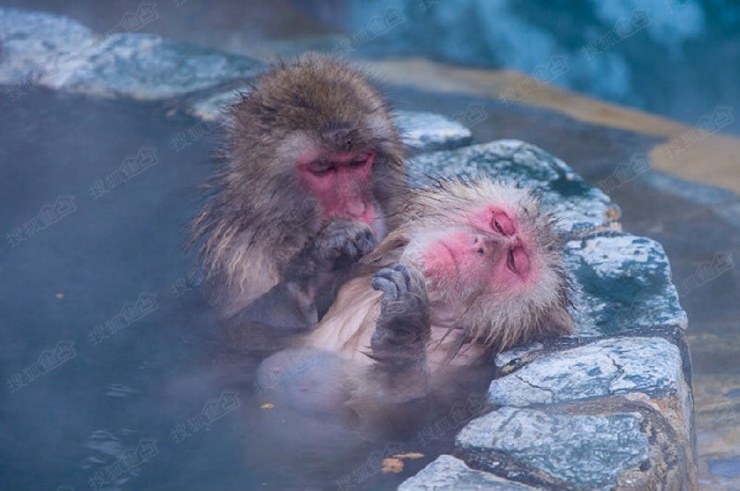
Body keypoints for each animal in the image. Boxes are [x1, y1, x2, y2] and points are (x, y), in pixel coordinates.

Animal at [258, 179, 576, 414]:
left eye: (514, 261)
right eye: (499, 225)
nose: (481, 245)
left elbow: (387, 408)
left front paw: (404, 327)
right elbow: (276, 320)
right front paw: (331, 244)